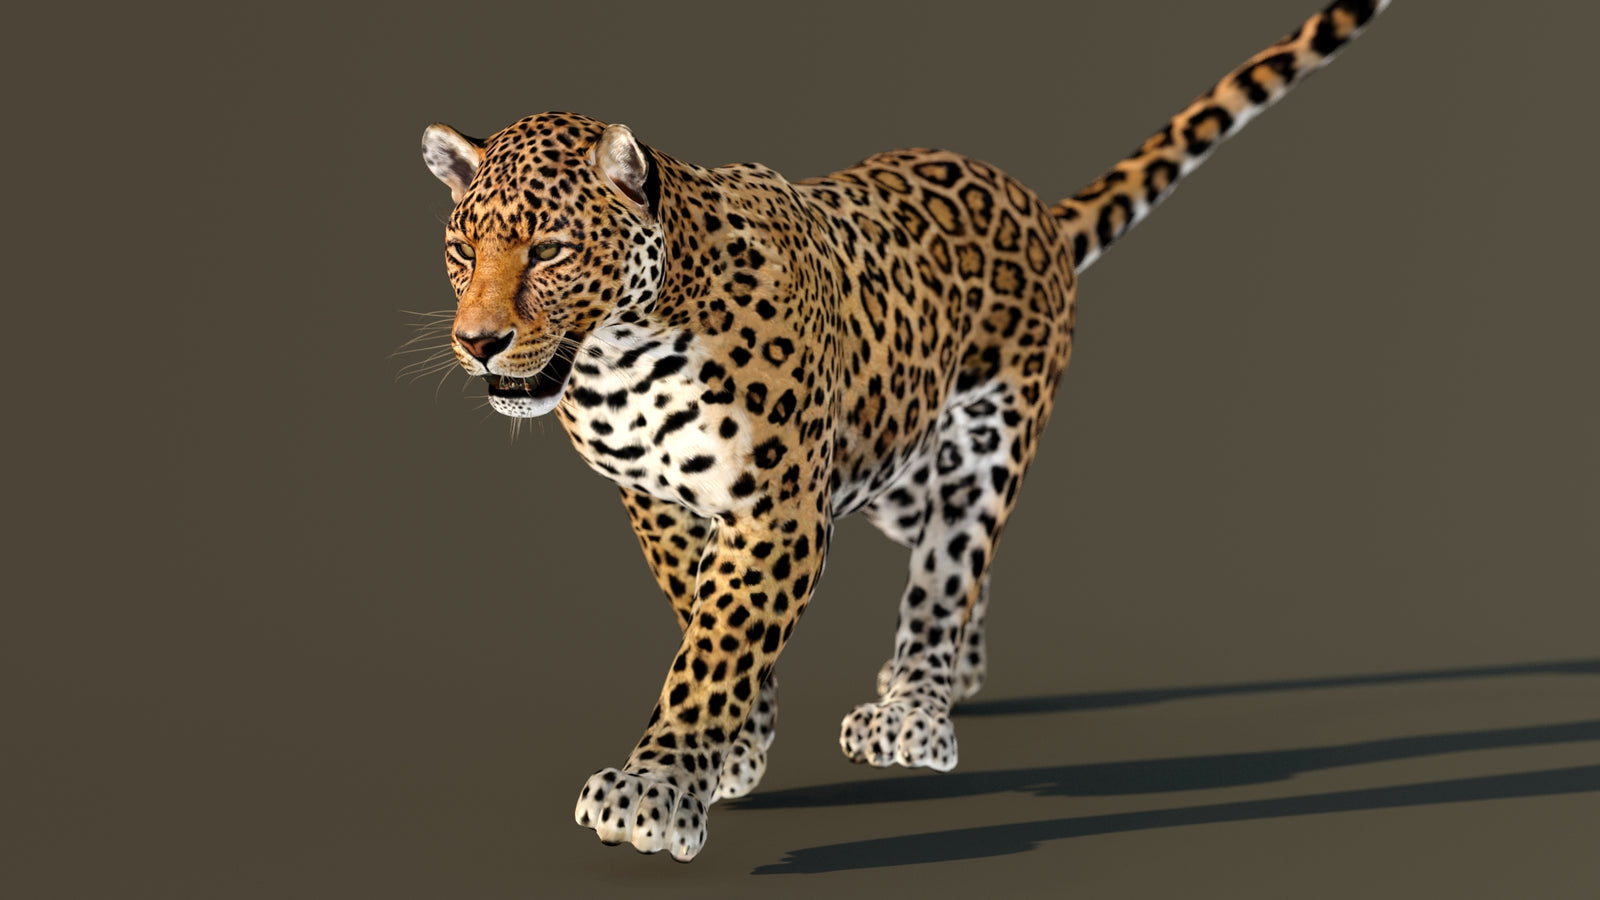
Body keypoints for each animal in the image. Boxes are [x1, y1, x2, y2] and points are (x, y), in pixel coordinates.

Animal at [417, 0, 1390, 862]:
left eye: (551, 250)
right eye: (463, 249)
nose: (478, 341)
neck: (621, 360)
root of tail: (1032, 206)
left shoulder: (779, 508)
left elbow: (719, 641)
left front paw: (657, 787)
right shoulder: (657, 499)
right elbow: (700, 608)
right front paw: (738, 745)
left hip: (984, 439)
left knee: (948, 567)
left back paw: (917, 707)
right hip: (892, 450)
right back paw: (955, 672)